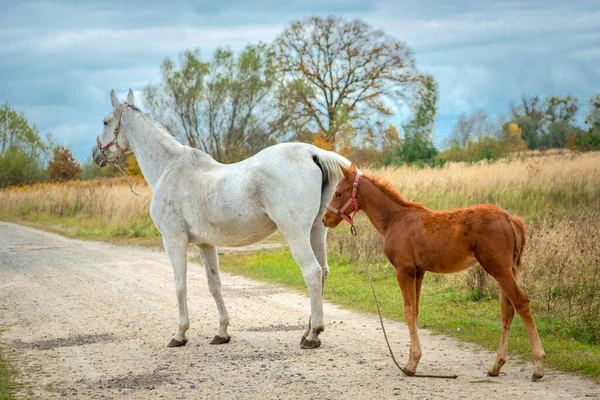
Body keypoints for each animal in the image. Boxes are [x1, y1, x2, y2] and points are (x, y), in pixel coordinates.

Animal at [91, 89, 350, 348]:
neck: (170, 168)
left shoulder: (173, 240)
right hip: (317, 230)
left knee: (312, 273)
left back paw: (313, 335)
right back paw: (308, 330)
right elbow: (214, 285)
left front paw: (180, 334)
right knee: (324, 271)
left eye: (105, 121)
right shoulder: (205, 244)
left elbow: (180, 285)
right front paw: (222, 332)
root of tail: (313, 153)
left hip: (296, 234)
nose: (95, 155)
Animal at [322, 162, 548, 382]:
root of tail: (509, 218)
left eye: (339, 193)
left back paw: (538, 366)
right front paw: (413, 360)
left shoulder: (404, 270)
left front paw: (410, 364)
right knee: (507, 310)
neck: (395, 220)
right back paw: (496, 366)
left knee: (520, 302)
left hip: (498, 269)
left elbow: (408, 310)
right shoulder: (418, 272)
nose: (325, 219)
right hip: (507, 270)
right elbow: (415, 310)